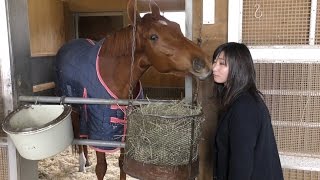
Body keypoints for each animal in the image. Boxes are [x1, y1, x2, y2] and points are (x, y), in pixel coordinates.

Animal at [53, 0, 211, 179]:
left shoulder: (125, 127)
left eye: (177, 26)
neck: (113, 74)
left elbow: (122, 164)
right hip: (75, 110)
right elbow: (101, 167)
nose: (204, 62)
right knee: (80, 137)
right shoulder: (100, 129)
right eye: (153, 37)